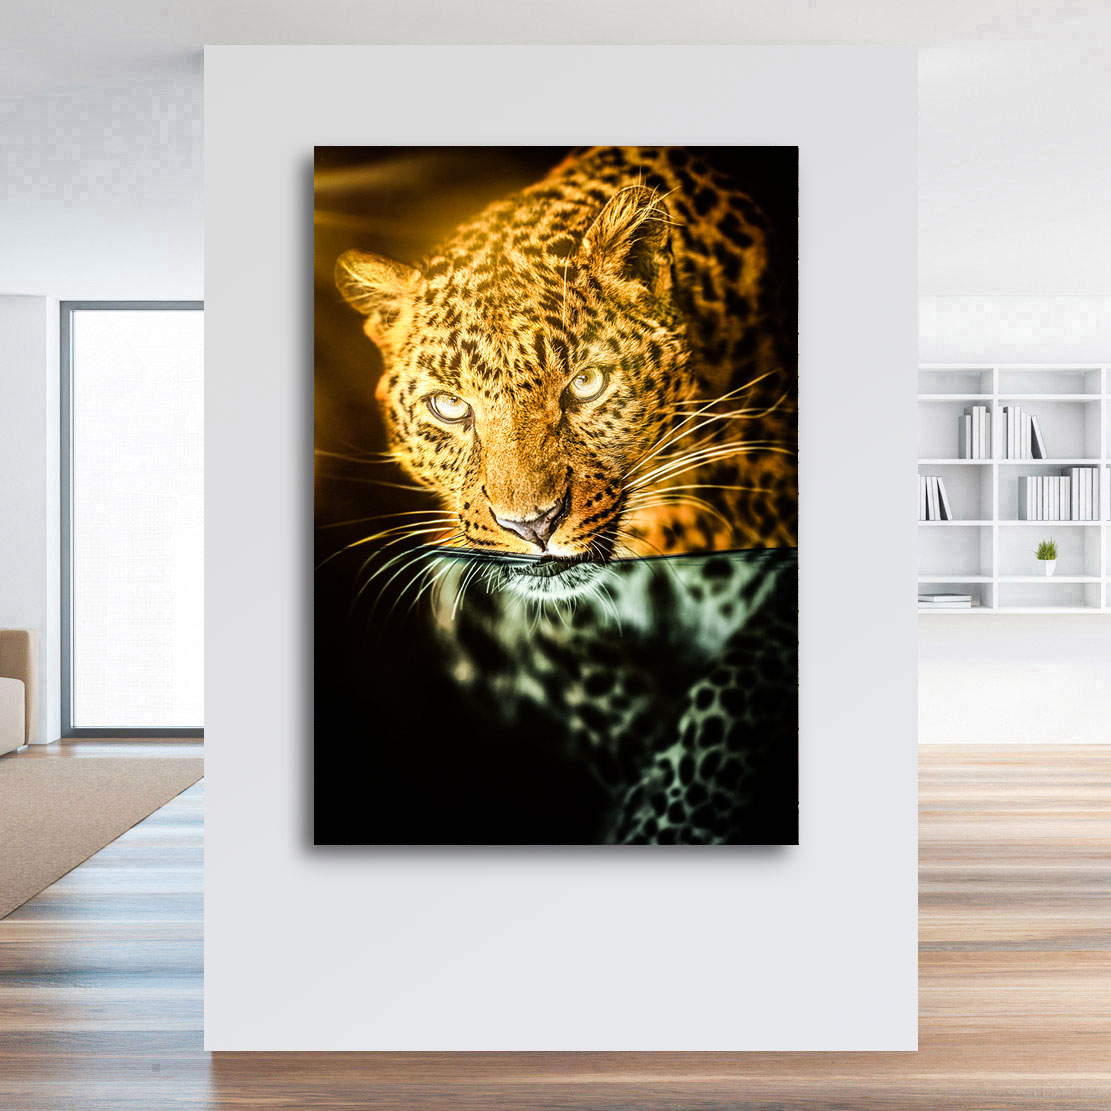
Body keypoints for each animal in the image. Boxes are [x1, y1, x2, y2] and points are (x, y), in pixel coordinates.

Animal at [334, 146, 797, 844]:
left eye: (585, 384)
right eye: (450, 406)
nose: (531, 524)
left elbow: (730, 698)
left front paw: (663, 821)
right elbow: (594, 694)